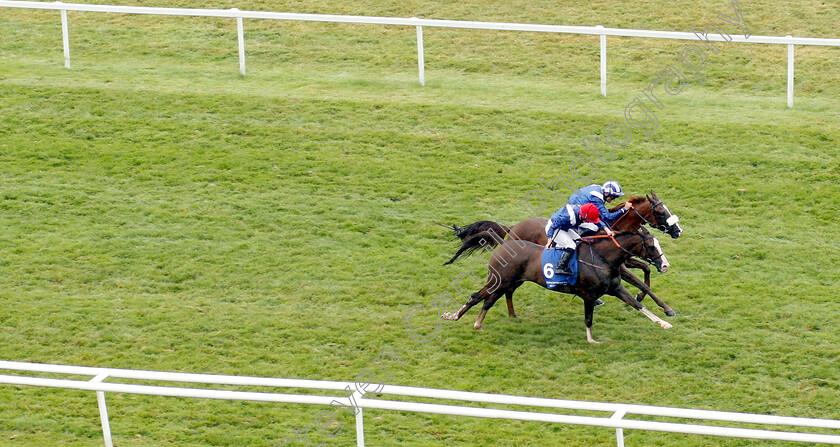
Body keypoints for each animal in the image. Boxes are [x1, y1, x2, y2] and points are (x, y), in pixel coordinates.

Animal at [442, 192, 680, 316]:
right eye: (661, 212)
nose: (678, 231)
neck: (611, 229)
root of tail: (512, 228)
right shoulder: (619, 265)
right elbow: (642, 282)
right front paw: (666, 309)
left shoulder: (625, 261)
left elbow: (646, 269)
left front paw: (644, 298)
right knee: (506, 288)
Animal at [442, 231, 672, 344]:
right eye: (650, 245)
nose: (665, 265)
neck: (602, 258)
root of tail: (504, 244)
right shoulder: (589, 295)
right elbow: (588, 319)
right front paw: (591, 340)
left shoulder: (616, 289)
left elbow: (638, 305)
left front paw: (664, 323)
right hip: (499, 280)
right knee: (477, 296)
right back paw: (454, 316)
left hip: (511, 282)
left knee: (490, 300)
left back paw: (480, 323)